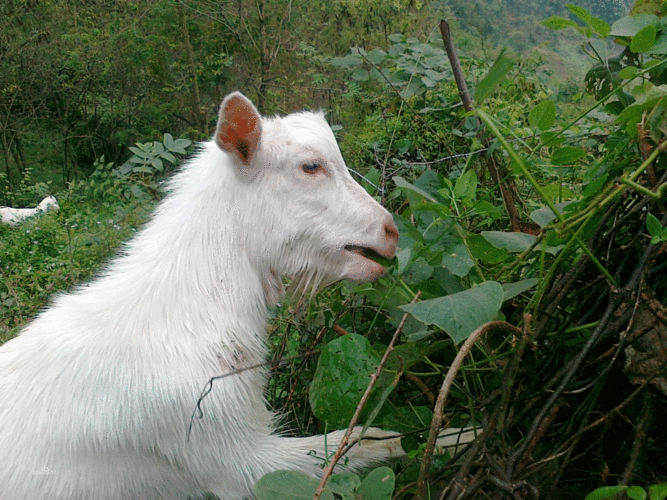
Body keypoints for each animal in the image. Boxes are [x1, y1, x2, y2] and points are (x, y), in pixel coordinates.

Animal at [0, 94, 474, 500]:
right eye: (311, 166)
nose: (389, 232)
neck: (183, 315)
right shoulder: (228, 452)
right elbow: (364, 440)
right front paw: (457, 436)